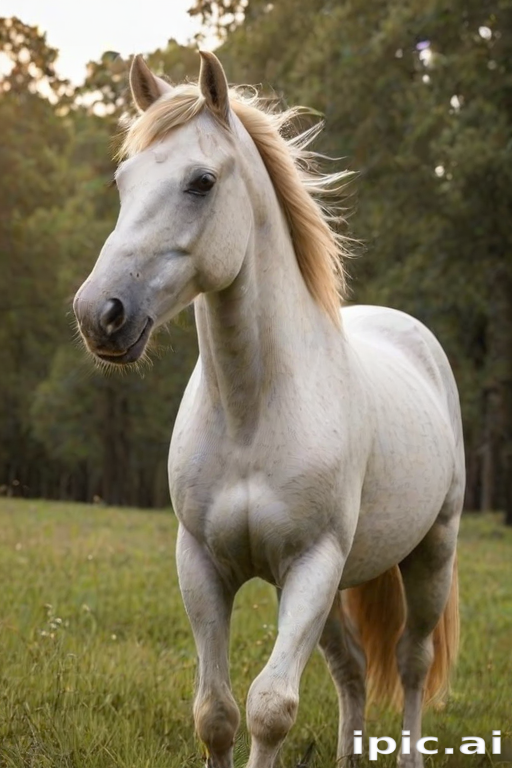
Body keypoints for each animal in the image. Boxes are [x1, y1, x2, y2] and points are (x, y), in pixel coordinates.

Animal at [73, 51, 464, 768]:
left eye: (201, 182)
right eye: (123, 179)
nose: (100, 315)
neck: (253, 412)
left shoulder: (312, 565)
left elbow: (270, 709)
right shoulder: (202, 566)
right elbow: (217, 713)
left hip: (431, 554)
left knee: (413, 662)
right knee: (353, 669)